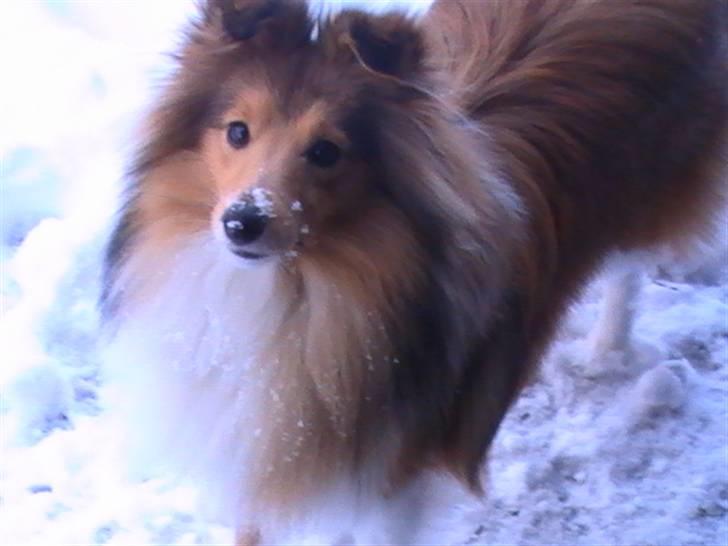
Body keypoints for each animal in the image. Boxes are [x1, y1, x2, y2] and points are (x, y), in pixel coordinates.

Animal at [102, 0, 728, 540]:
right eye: (237, 131)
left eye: (326, 151)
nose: (243, 222)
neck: (293, 291)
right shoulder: (255, 448)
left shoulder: (391, 489)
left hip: (650, 203)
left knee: (628, 272)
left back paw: (606, 352)